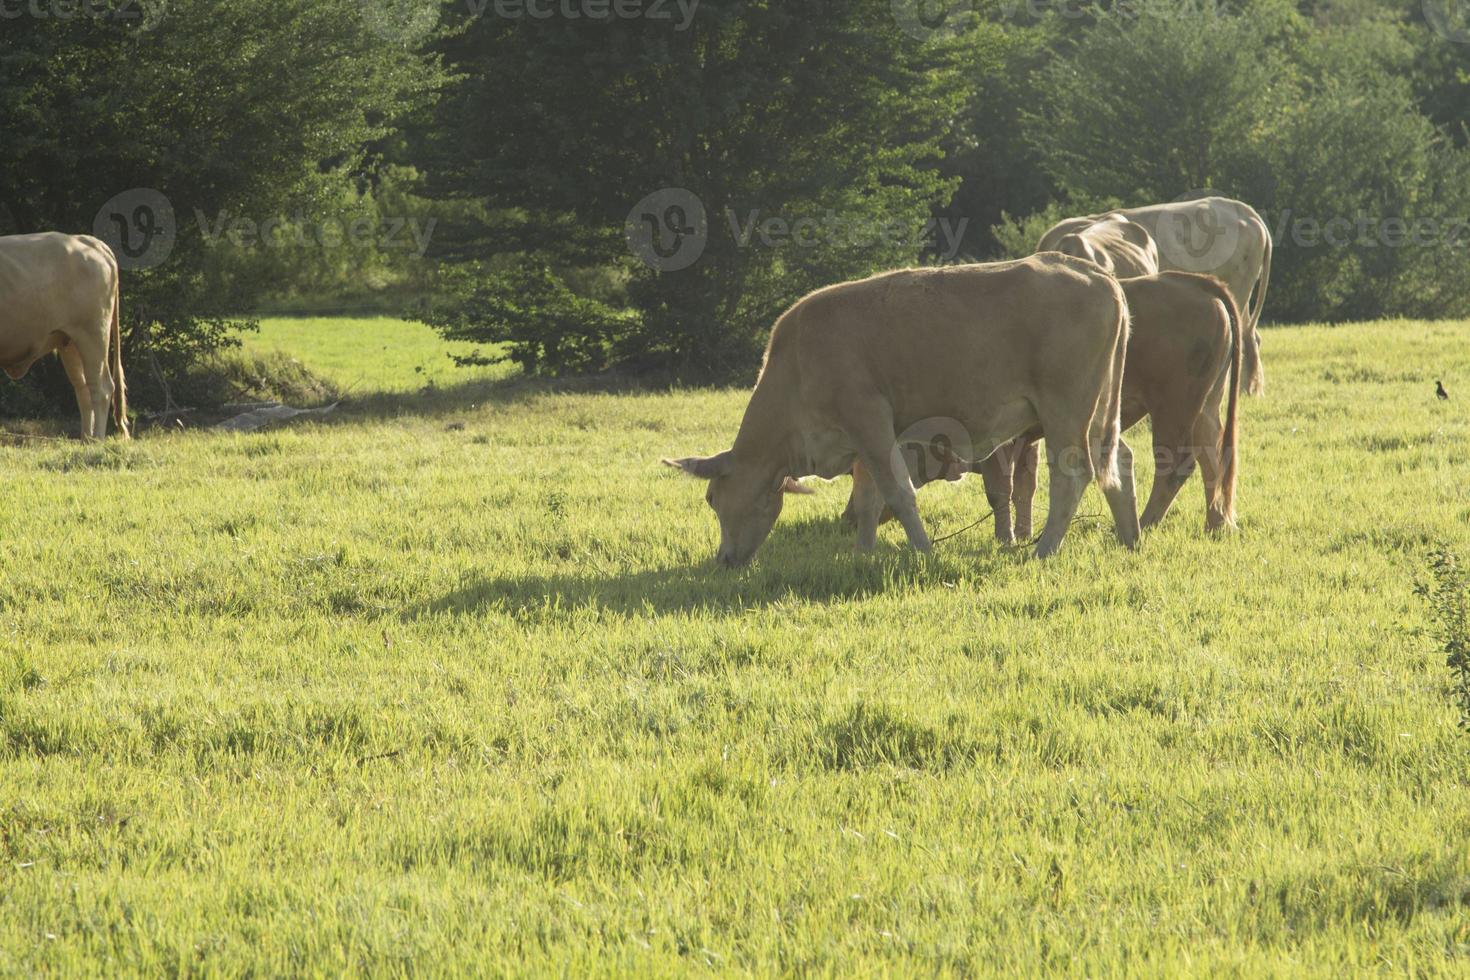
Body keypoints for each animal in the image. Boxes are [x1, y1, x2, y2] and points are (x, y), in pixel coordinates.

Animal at [0, 233, 130, 437]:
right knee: (83, 389)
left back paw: (98, 439)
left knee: (101, 388)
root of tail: (86, 240)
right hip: (69, 342)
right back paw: (86, 439)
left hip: (93, 334)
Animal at [667, 252, 1134, 567]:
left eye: (711, 497)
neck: (797, 363)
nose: (724, 559)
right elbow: (868, 499)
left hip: (1064, 410)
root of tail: (1095, 274)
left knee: (1072, 474)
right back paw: (1130, 538)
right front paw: (862, 552)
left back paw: (1045, 549)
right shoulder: (863, 443)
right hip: (1100, 411)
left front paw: (923, 550)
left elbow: (898, 493)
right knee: (1118, 460)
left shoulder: (869, 422)